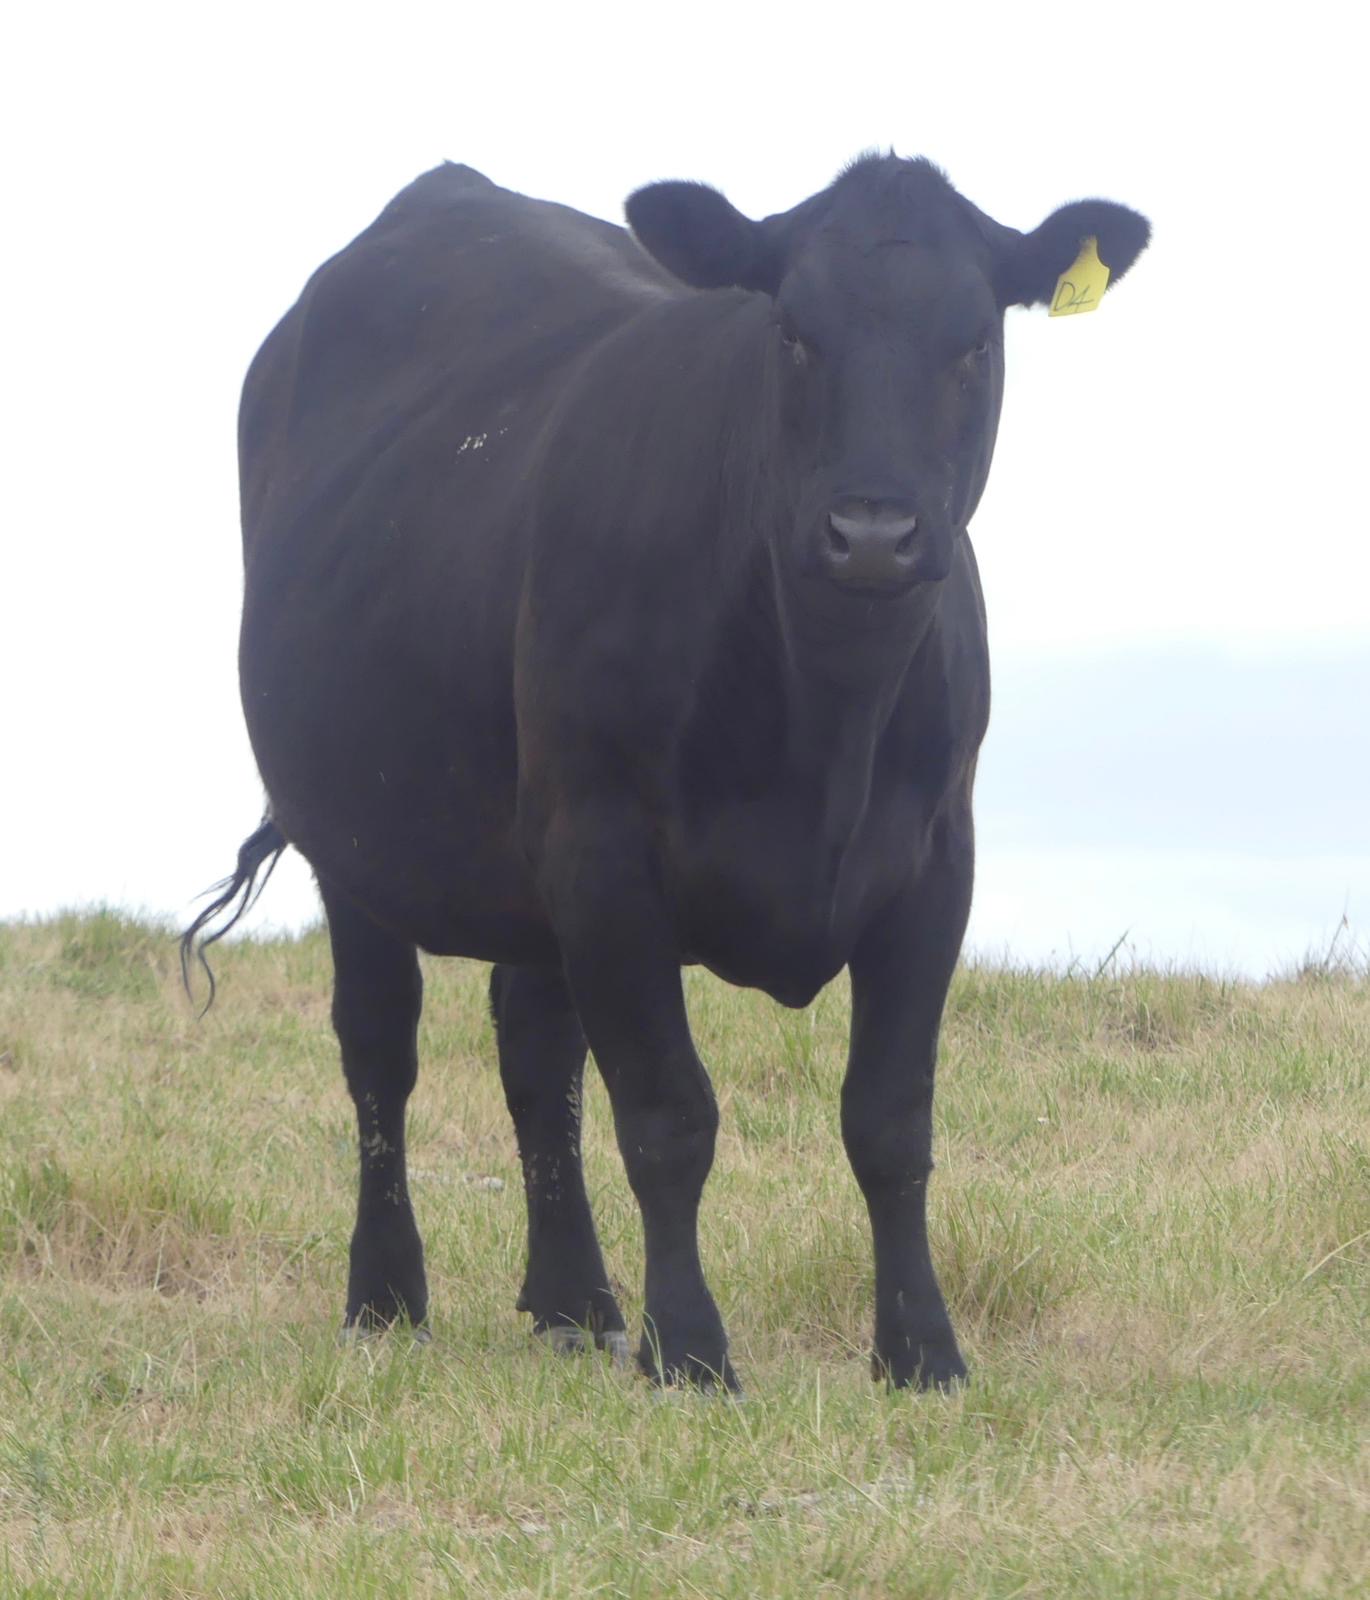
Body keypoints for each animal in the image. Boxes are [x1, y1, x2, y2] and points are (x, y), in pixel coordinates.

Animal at [186, 153, 1148, 1391]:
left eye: (975, 339)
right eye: (791, 331)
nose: (872, 532)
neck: (823, 712)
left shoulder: (934, 863)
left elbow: (889, 1119)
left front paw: (921, 1350)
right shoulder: (604, 851)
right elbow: (666, 1116)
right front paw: (688, 1347)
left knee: (534, 1051)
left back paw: (574, 1299)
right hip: (356, 834)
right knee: (379, 1049)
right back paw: (388, 1296)